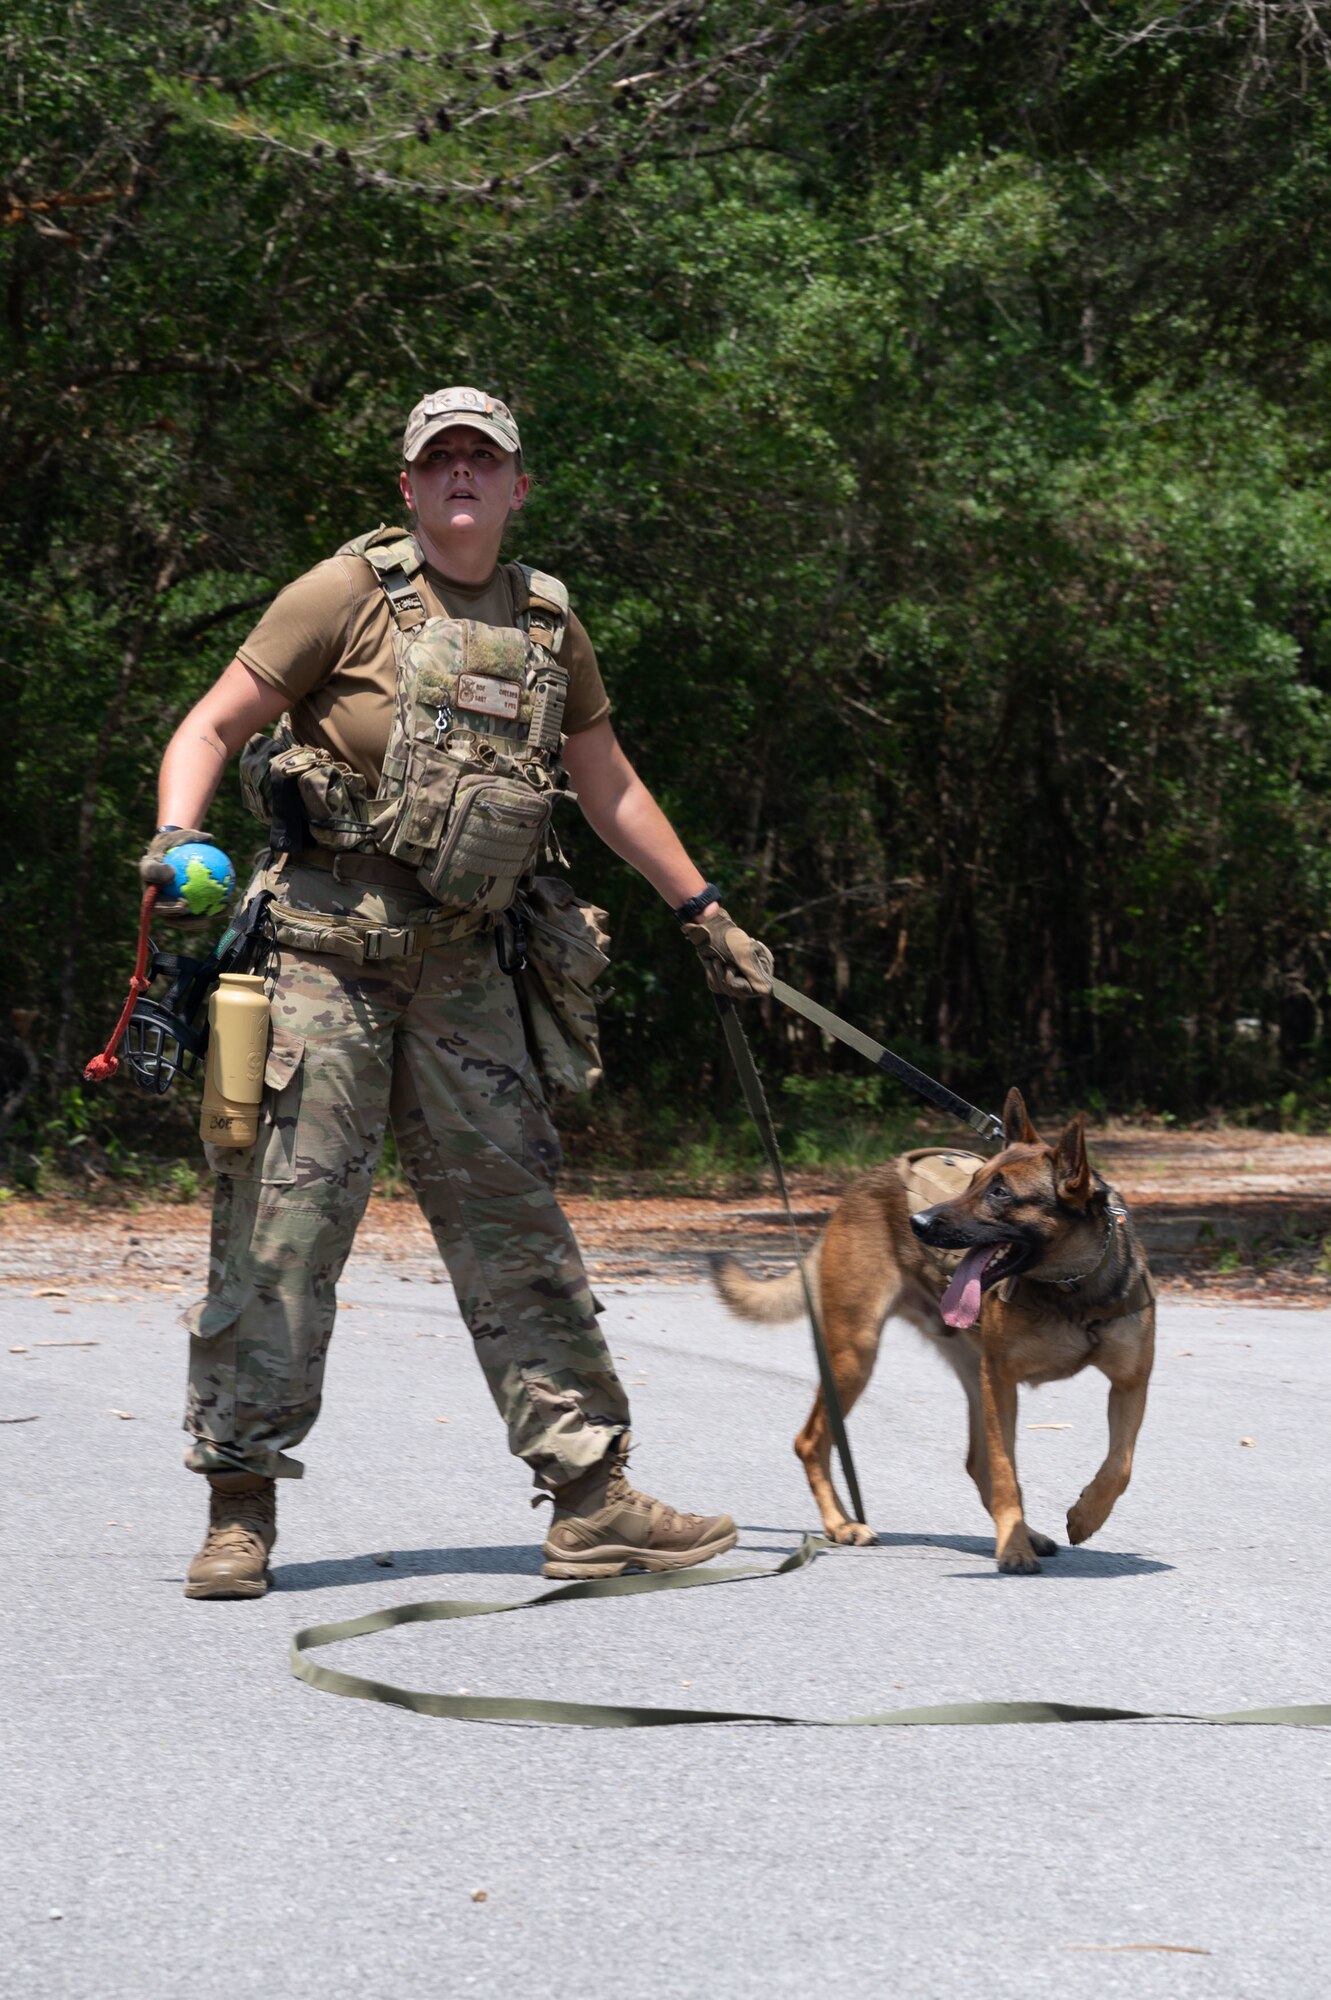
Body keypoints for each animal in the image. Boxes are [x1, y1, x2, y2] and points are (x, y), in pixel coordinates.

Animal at [715, 1088, 1151, 1568]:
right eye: (973, 1181)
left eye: (1000, 1192)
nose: (918, 1224)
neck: (1071, 1286)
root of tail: (861, 1184)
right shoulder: (1003, 1382)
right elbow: (1007, 1472)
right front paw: (1014, 1548)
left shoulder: (1130, 1385)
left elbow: (1121, 1465)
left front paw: (1086, 1515)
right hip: (856, 1358)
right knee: (811, 1441)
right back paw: (842, 1525)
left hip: (971, 1376)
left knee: (978, 1463)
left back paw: (1025, 1531)